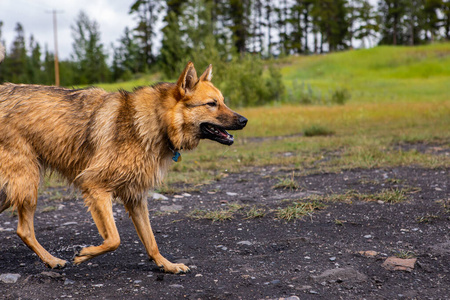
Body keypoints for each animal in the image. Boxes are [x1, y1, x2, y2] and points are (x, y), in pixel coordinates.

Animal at [0, 62, 246, 274]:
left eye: (223, 101)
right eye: (212, 103)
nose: (244, 120)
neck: (157, 121)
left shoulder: (135, 197)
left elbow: (151, 240)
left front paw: (166, 265)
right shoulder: (95, 187)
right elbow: (114, 239)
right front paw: (85, 254)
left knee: (22, 229)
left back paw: (50, 260)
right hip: (27, 184)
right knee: (24, 230)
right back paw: (52, 259)